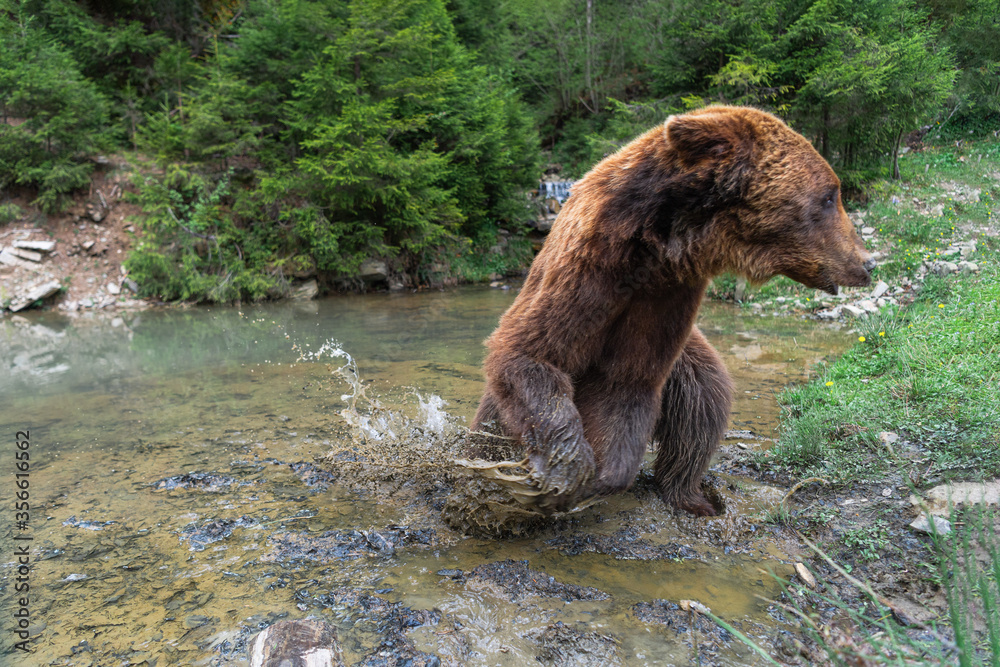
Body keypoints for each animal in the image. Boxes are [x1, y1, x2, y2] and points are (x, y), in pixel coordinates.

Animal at [471, 105, 875, 516]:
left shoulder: (669, 296)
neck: (661, 245)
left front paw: (603, 475)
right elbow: (533, 354)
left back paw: (691, 495)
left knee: (704, 402)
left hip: (690, 355)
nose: (868, 262)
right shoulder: (591, 268)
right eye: (830, 196)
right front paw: (566, 470)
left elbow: (626, 381)